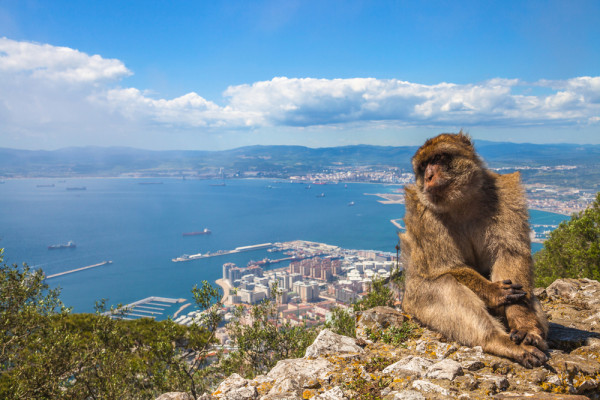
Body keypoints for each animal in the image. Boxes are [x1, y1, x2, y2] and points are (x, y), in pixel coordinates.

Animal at [404, 132, 548, 368]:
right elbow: (446, 266)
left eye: (439, 158)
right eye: (423, 166)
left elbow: (510, 255)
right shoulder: (422, 211)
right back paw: (497, 341)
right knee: (445, 285)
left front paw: (524, 323)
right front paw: (493, 291)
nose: (429, 176)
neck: (460, 201)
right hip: (415, 303)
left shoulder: (506, 193)